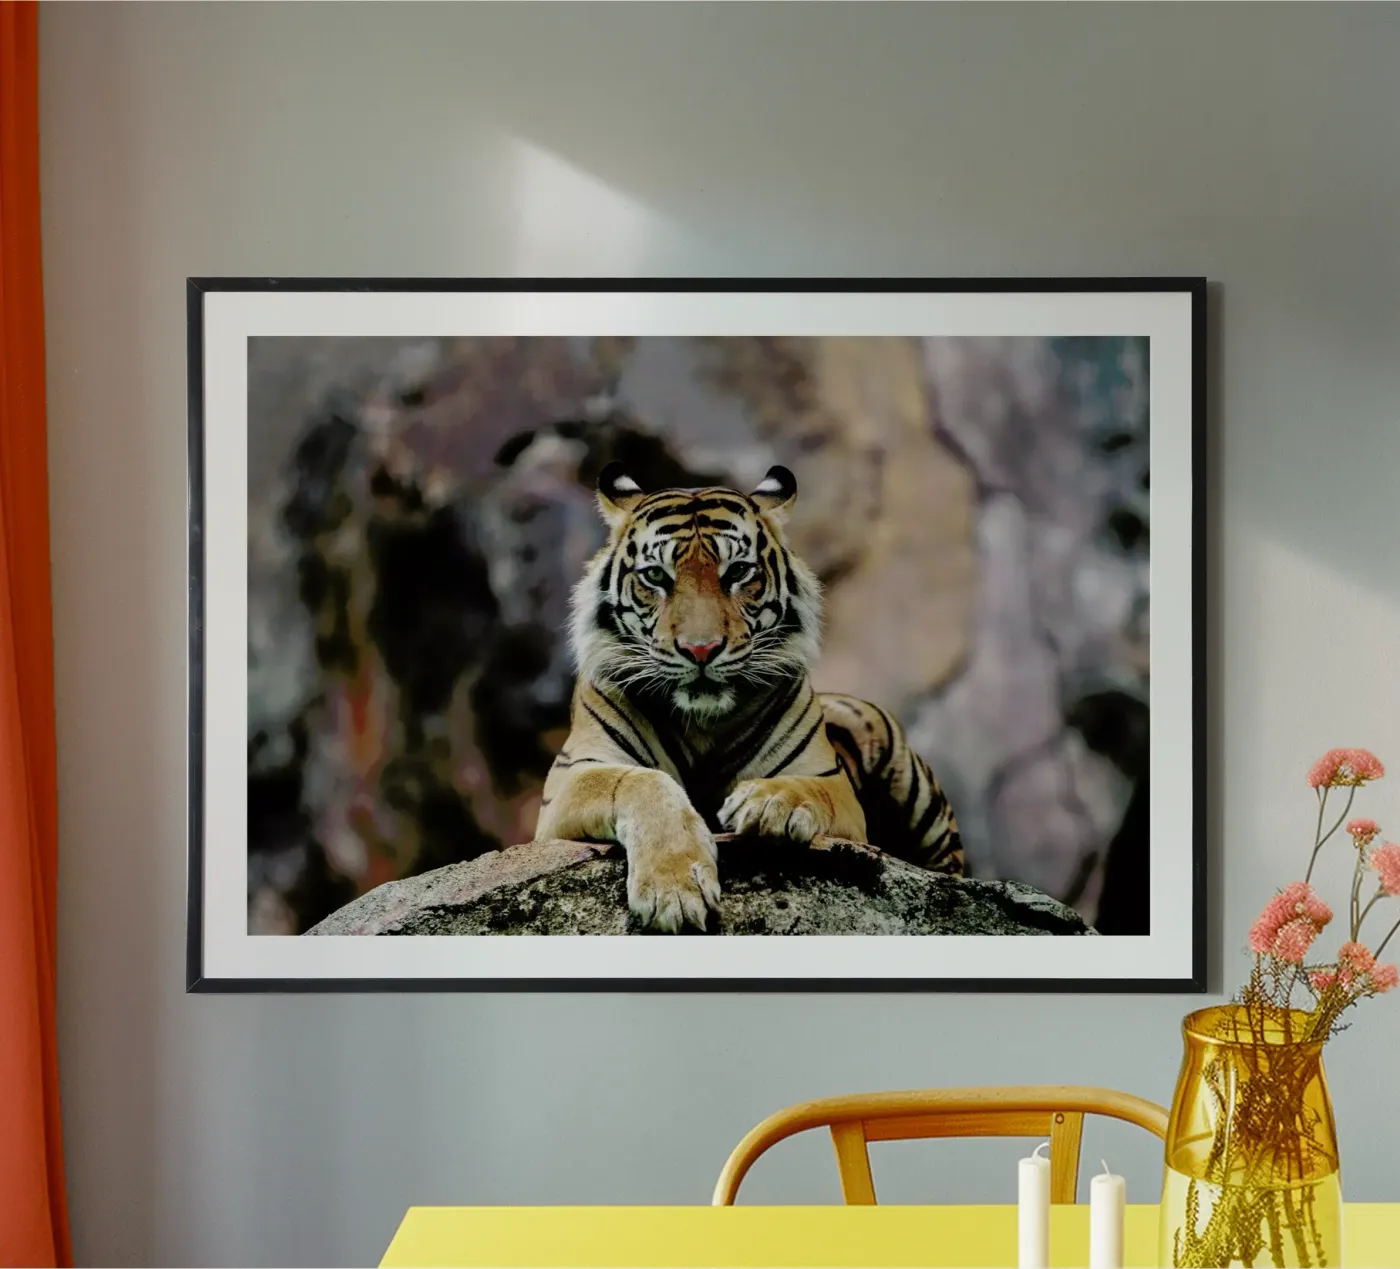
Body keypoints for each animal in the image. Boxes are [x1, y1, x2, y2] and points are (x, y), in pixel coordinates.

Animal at [534, 461, 963, 933]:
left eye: (737, 572)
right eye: (656, 576)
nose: (701, 649)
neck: (702, 721)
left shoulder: (831, 783)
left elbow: (807, 789)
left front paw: (768, 802)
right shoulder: (572, 777)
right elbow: (640, 782)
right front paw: (674, 889)